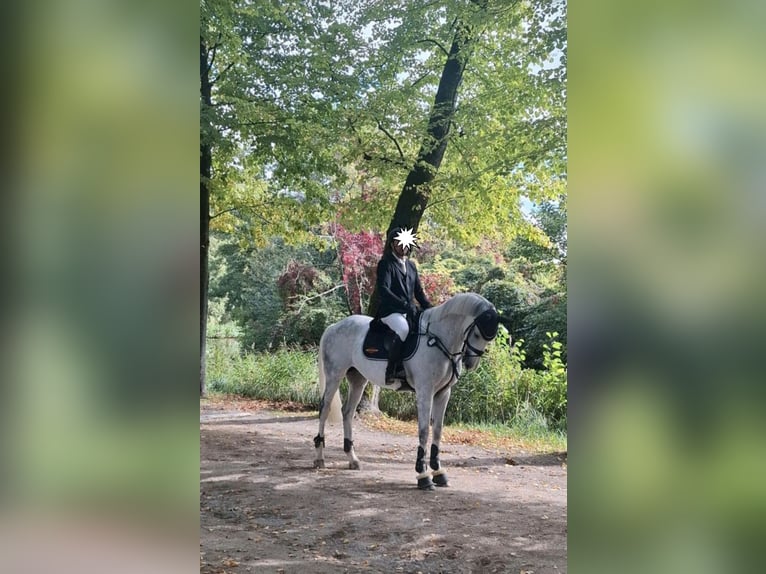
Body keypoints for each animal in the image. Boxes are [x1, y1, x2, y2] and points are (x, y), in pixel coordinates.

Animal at [313, 292, 501, 490]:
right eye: (477, 333)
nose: (471, 364)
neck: (439, 339)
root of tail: (334, 326)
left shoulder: (443, 393)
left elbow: (438, 430)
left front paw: (438, 472)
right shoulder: (425, 391)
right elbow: (424, 431)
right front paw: (423, 476)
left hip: (358, 379)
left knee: (347, 412)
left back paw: (353, 459)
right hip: (335, 375)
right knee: (324, 409)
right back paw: (319, 458)